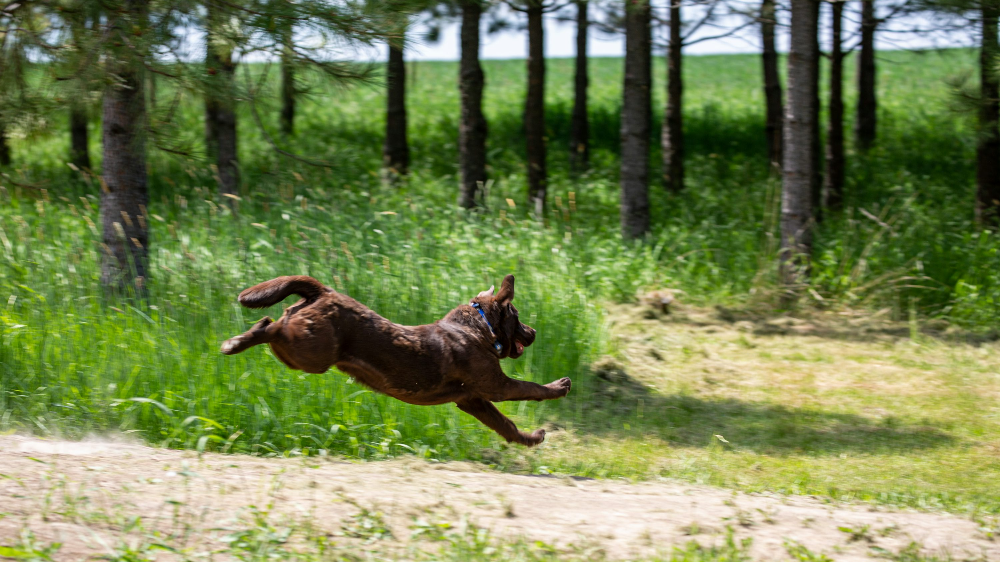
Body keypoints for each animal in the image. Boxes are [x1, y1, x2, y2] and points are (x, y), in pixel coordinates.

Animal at [223, 274, 576, 444]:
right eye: (517, 316)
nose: (533, 332)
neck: (479, 328)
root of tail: (323, 292)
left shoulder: (472, 400)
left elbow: (506, 424)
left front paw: (531, 439)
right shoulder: (495, 386)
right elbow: (531, 387)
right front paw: (560, 385)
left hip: (302, 351)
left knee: (273, 322)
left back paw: (237, 342)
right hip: (311, 352)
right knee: (271, 325)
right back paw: (234, 342)